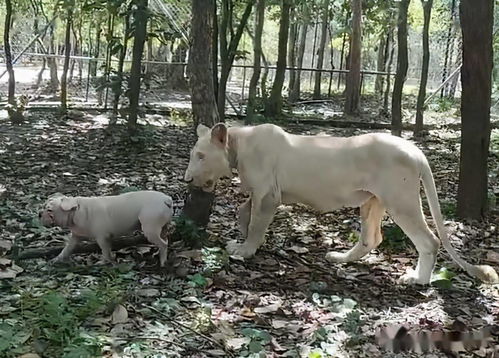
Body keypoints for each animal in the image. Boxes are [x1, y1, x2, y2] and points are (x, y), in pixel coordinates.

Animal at [39, 190, 173, 266]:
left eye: (49, 210)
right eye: (43, 206)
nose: (39, 213)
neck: (77, 210)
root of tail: (166, 199)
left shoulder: (102, 238)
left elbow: (105, 250)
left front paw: (104, 262)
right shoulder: (76, 236)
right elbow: (67, 248)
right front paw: (57, 259)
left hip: (150, 228)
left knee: (163, 243)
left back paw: (163, 262)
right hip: (161, 228)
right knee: (165, 239)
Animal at [185, 123, 499, 286]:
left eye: (200, 156)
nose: (187, 178)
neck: (238, 146)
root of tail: (416, 150)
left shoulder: (268, 195)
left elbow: (256, 224)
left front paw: (245, 250)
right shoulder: (261, 194)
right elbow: (244, 213)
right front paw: (239, 235)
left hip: (400, 200)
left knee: (429, 241)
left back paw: (416, 279)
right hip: (372, 201)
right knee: (372, 238)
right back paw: (338, 258)